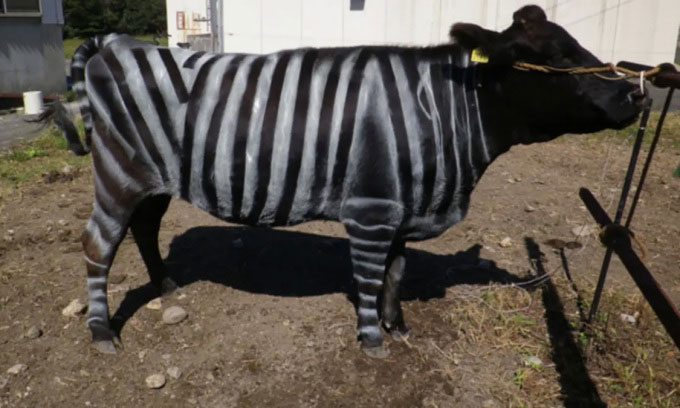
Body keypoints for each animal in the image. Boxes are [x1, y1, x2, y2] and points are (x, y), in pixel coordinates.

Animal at [47, 5, 643, 358]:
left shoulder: (404, 206)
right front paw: (373, 340)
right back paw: (102, 334)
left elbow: (397, 274)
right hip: (120, 173)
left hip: (154, 178)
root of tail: (118, 44)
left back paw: (168, 286)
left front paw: (399, 327)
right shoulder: (372, 210)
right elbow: (371, 278)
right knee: (98, 244)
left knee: (144, 229)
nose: (636, 94)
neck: (440, 113)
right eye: (553, 58)